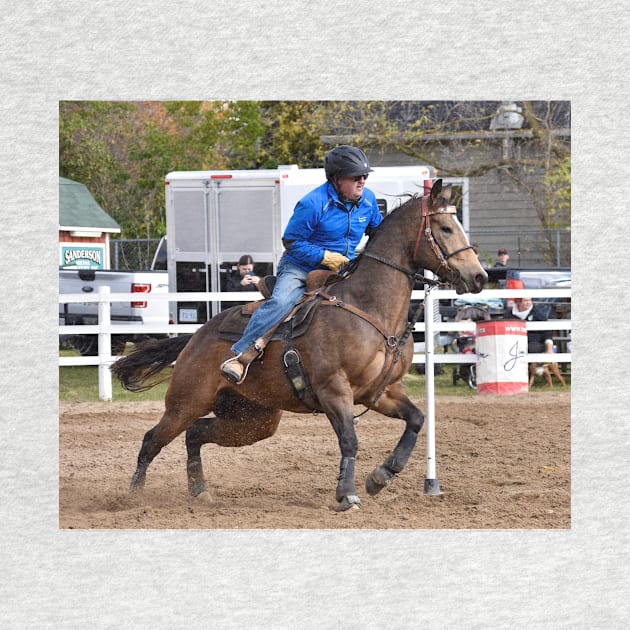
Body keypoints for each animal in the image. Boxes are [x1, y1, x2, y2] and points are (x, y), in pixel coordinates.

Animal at [112, 179, 488, 512]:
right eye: (445, 228)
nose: (480, 276)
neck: (370, 309)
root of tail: (195, 337)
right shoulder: (334, 390)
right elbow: (349, 440)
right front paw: (347, 495)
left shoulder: (380, 392)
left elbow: (416, 420)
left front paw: (380, 477)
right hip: (186, 402)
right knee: (153, 439)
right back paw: (132, 497)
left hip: (254, 420)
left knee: (195, 433)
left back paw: (199, 490)